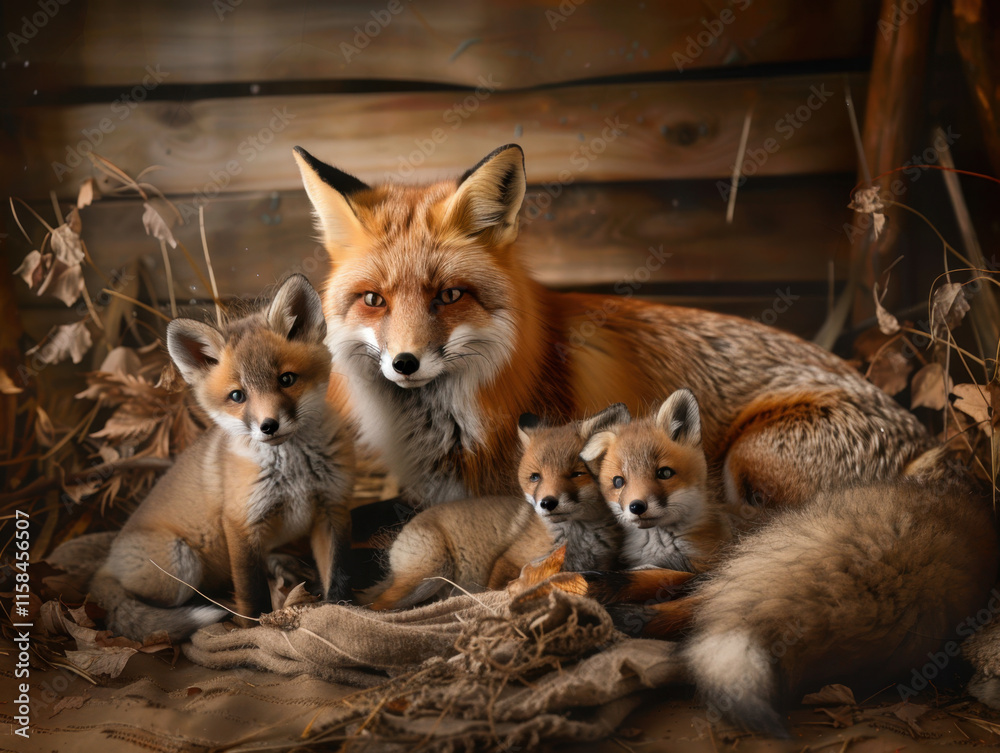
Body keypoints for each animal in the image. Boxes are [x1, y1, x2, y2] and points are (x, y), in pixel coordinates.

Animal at [89, 275, 354, 641]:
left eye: (286, 379)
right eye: (237, 396)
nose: (269, 426)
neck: (294, 473)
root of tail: (104, 564)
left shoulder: (332, 509)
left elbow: (339, 576)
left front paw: (341, 616)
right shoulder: (240, 523)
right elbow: (251, 592)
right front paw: (252, 630)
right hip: (180, 565)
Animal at [361, 405, 625, 610]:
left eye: (577, 474)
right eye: (535, 477)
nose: (547, 503)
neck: (577, 541)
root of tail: (408, 525)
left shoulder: (600, 568)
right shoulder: (507, 560)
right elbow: (500, 589)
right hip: (428, 575)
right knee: (377, 606)